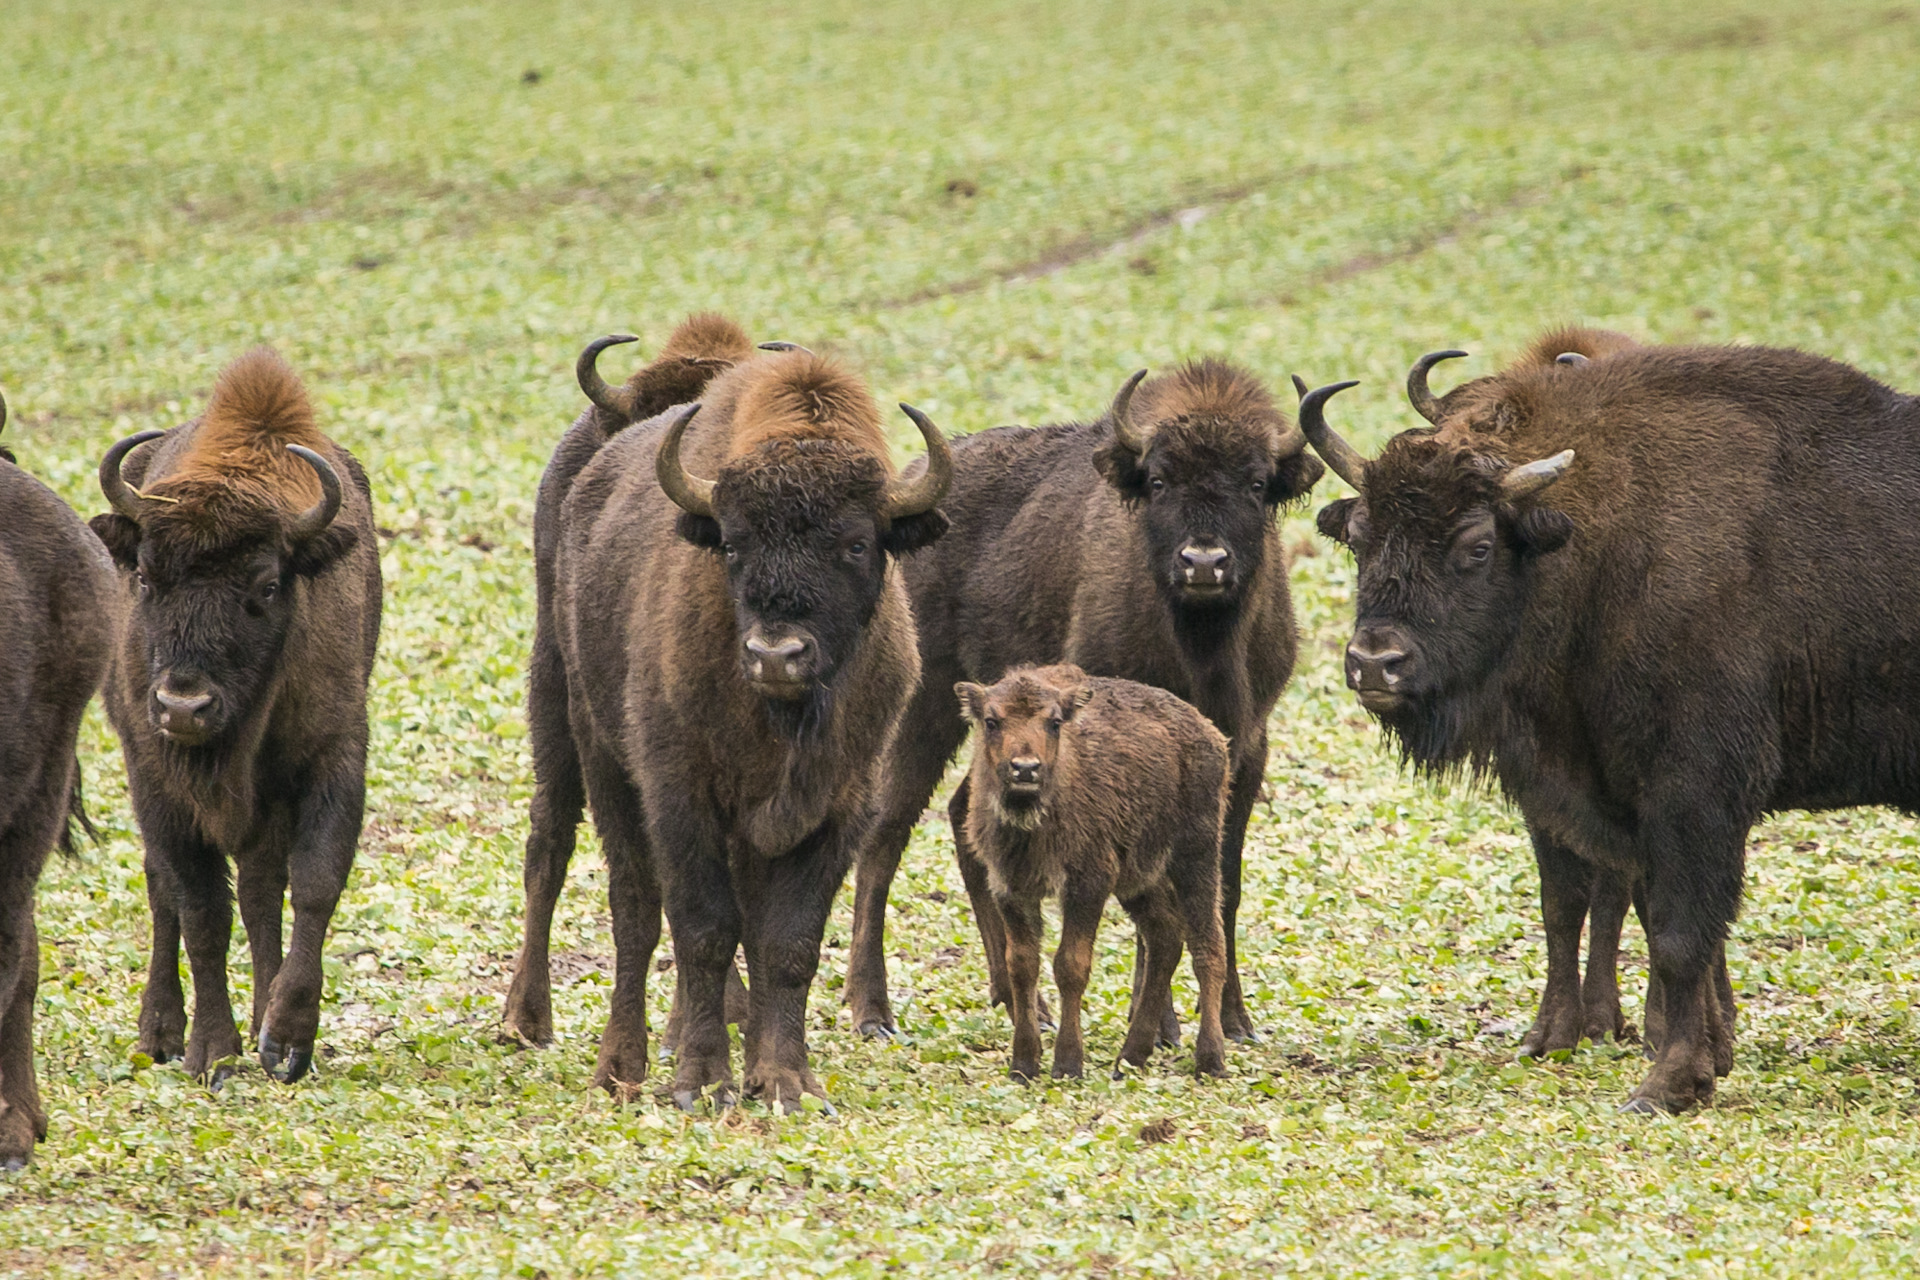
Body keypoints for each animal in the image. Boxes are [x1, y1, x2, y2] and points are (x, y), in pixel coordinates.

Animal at [91, 349, 382, 1084]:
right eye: (145, 578)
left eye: (267, 584)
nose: (184, 705)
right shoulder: (155, 778)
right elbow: (198, 907)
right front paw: (211, 1053)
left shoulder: (330, 758)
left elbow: (310, 885)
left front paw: (286, 1042)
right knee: (163, 888)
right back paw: (160, 1033)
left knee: (258, 891)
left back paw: (259, 1018)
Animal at [536, 334, 950, 1110]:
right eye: (732, 543)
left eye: (857, 543)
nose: (776, 654)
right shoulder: (681, 795)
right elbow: (703, 928)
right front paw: (702, 1080)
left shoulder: (838, 808)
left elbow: (785, 944)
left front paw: (785, 1080)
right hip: (602, 757)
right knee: (635, 910)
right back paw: (620, 1067)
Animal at [955, 665, 1229, 1082]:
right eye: (991, 720)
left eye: (1054, 722)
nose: (1025, 768)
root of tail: (1211, 733)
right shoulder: (1010, 888)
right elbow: (1022, 964)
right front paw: (1023, 1064)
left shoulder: (1088, 884)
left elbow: (1071, 965)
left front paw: (1068, 1063)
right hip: (1140, 879)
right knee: (1166, 936)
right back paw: (1130, 1057)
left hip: (1196, 854)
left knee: (1208, 944)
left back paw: (1211, 1059)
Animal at [1303, 328, 1920, 1112]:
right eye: (1360, 536)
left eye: (1477, 545)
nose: (1374, 662)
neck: (1594, 540)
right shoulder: (1583, 792)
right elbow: (1587, 908)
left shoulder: (1694, 793)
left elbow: (1680, 935)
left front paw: (1666, 1084)